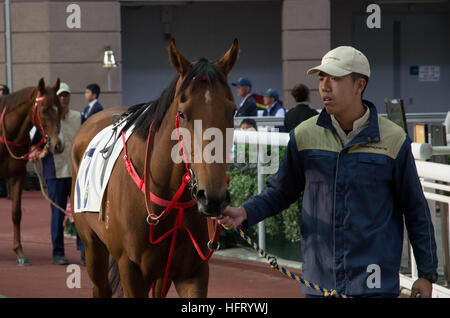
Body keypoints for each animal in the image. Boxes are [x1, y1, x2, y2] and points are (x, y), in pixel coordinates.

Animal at [0, 79, 63, 266]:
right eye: (44, 110)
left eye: (60, 108)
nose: (58, 144)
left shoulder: (17, 177)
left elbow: (16, 213)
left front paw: (19, 252)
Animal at [71, 39, 239, 298]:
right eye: (182, 113)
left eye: (232, 110)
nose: (213, 197)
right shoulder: (130, 269)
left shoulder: (193, 271)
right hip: (92, 244)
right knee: (100, 284)